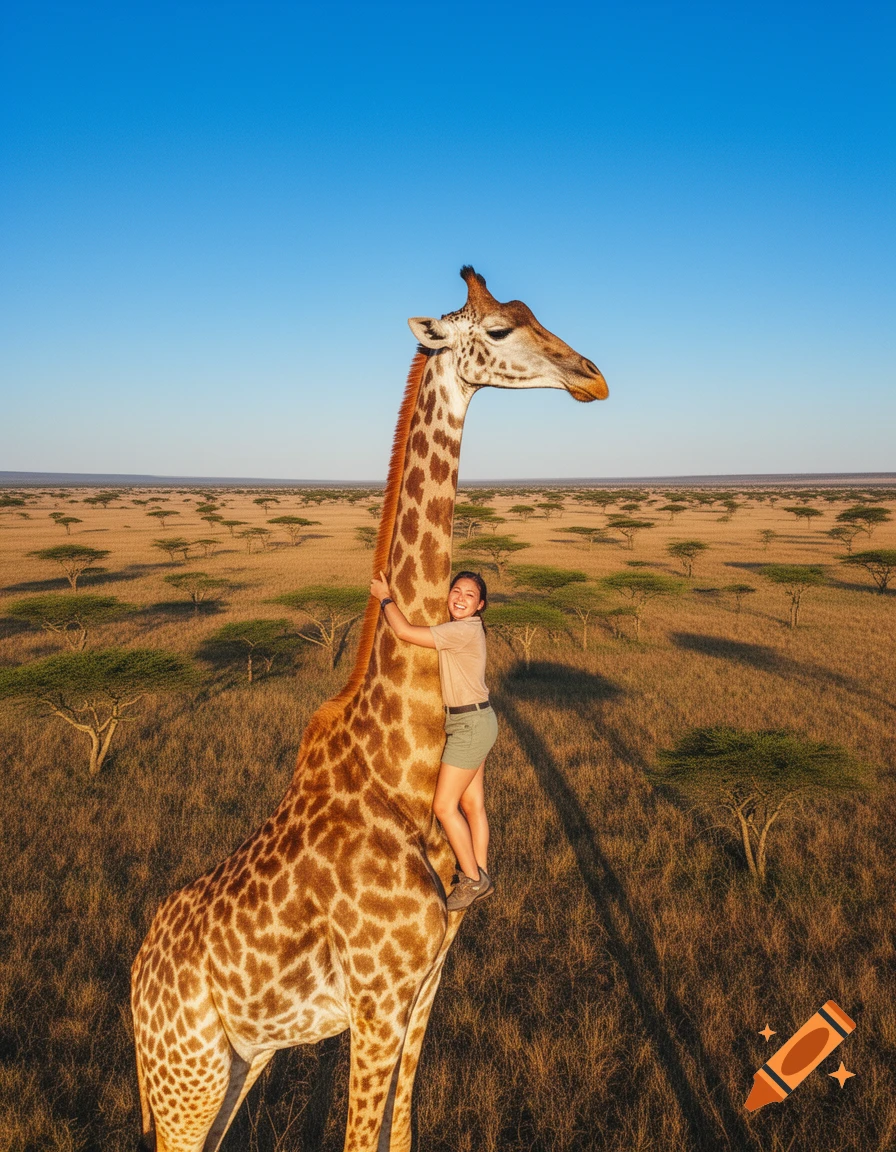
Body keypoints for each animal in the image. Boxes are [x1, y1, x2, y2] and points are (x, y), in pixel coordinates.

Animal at [131, 266, 608, 1152]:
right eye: (498, 330)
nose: (592, 376)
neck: (402, 767)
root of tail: (133, 991)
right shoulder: (375, 998)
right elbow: (361, 1137)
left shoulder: (426, 983)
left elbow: (402, 1126)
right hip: (186, 1081)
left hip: (236, 1068)